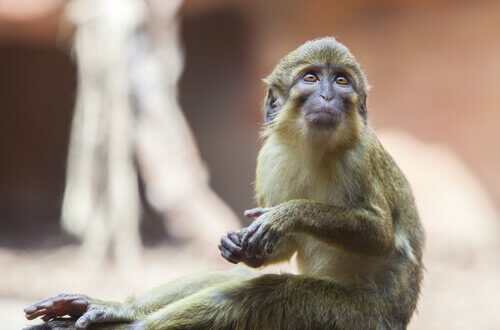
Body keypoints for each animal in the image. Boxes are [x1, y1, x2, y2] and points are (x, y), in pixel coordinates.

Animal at [22, 37, 422, 330]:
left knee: (265, 292)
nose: (327, 96)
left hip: (353, 316)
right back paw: (118, 310)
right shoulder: (268, 158)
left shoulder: (359, 155)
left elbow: (379, 234)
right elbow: (280, 246)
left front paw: (288, 214)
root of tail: (395, 321)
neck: (316, 146)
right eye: (311, 79)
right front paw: (236, 244)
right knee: (225, 281)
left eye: (341, 81)